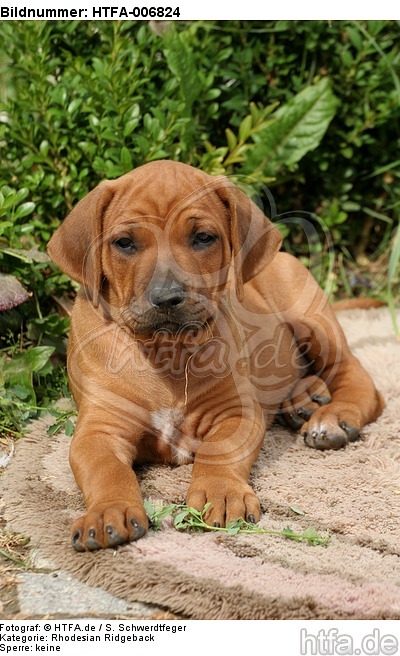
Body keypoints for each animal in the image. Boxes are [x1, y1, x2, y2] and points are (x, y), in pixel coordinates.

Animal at [47, 161, 384, 552]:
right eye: (125, 243)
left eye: (203, 238)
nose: (167, 298)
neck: (167, 351)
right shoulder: (100, 427)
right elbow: (106, 469)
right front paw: (108, 510)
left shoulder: (236, 412)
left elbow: (219, 451)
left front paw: (220, 493)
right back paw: (303, 399)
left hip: (311, 320)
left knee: (355, 374)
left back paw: (334, 417)